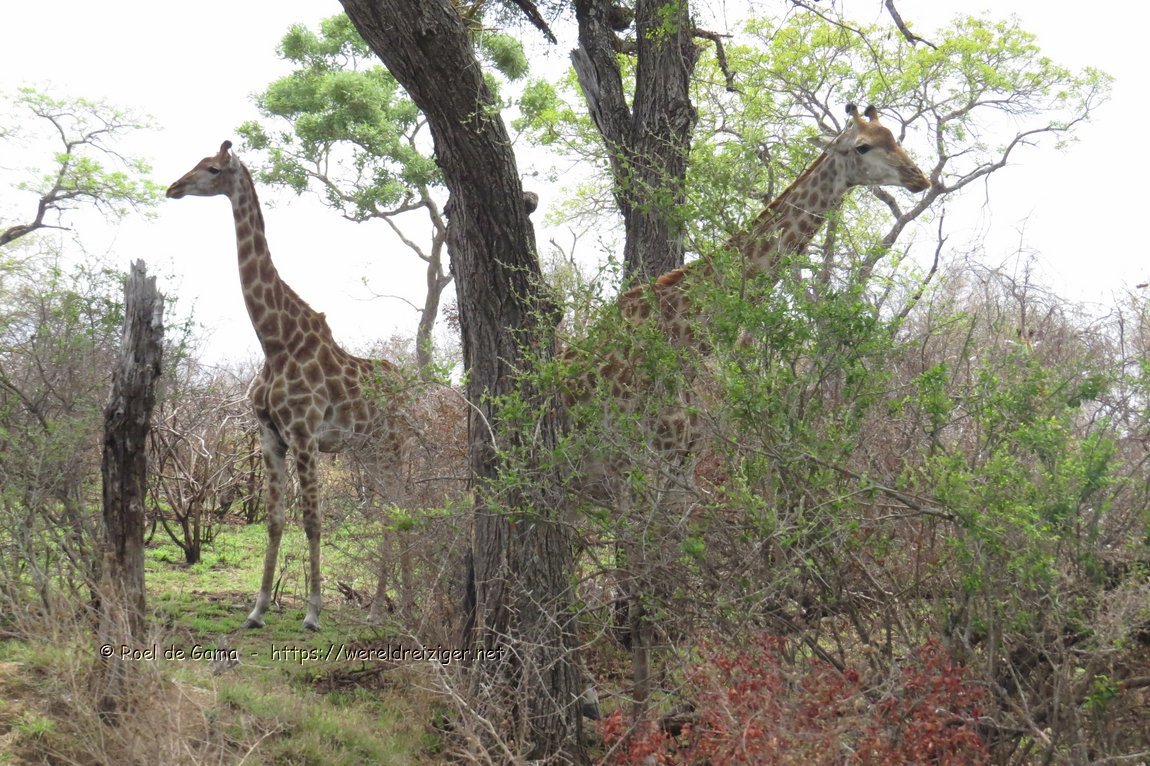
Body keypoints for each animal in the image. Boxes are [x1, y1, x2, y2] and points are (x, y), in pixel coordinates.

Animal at [166, 141, 413, 630]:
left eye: (213, 169)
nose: (173, 187)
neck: (275, 341)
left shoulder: (304, 434)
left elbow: (314, 520)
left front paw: (313, 613)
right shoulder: (269, 436)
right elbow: (276, 519)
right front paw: (257, 609)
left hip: (390, 445)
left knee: (399, 508)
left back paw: (397, 604)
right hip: (370, 450)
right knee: (391, 510)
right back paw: (382, 607)